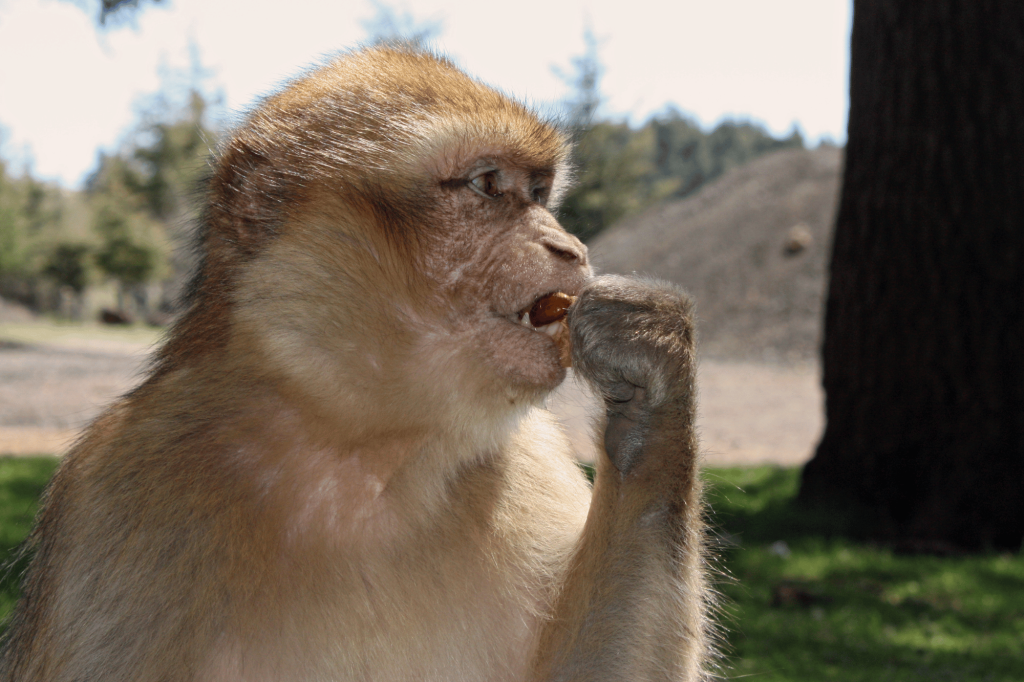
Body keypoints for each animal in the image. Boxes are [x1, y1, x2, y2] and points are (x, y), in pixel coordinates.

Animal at [0, 47, 715, 681]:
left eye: (540, 192)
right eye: (489, 186)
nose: (570, 247)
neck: (363, 450)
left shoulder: (529, 454)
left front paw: (651, 383)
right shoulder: (116, 490)